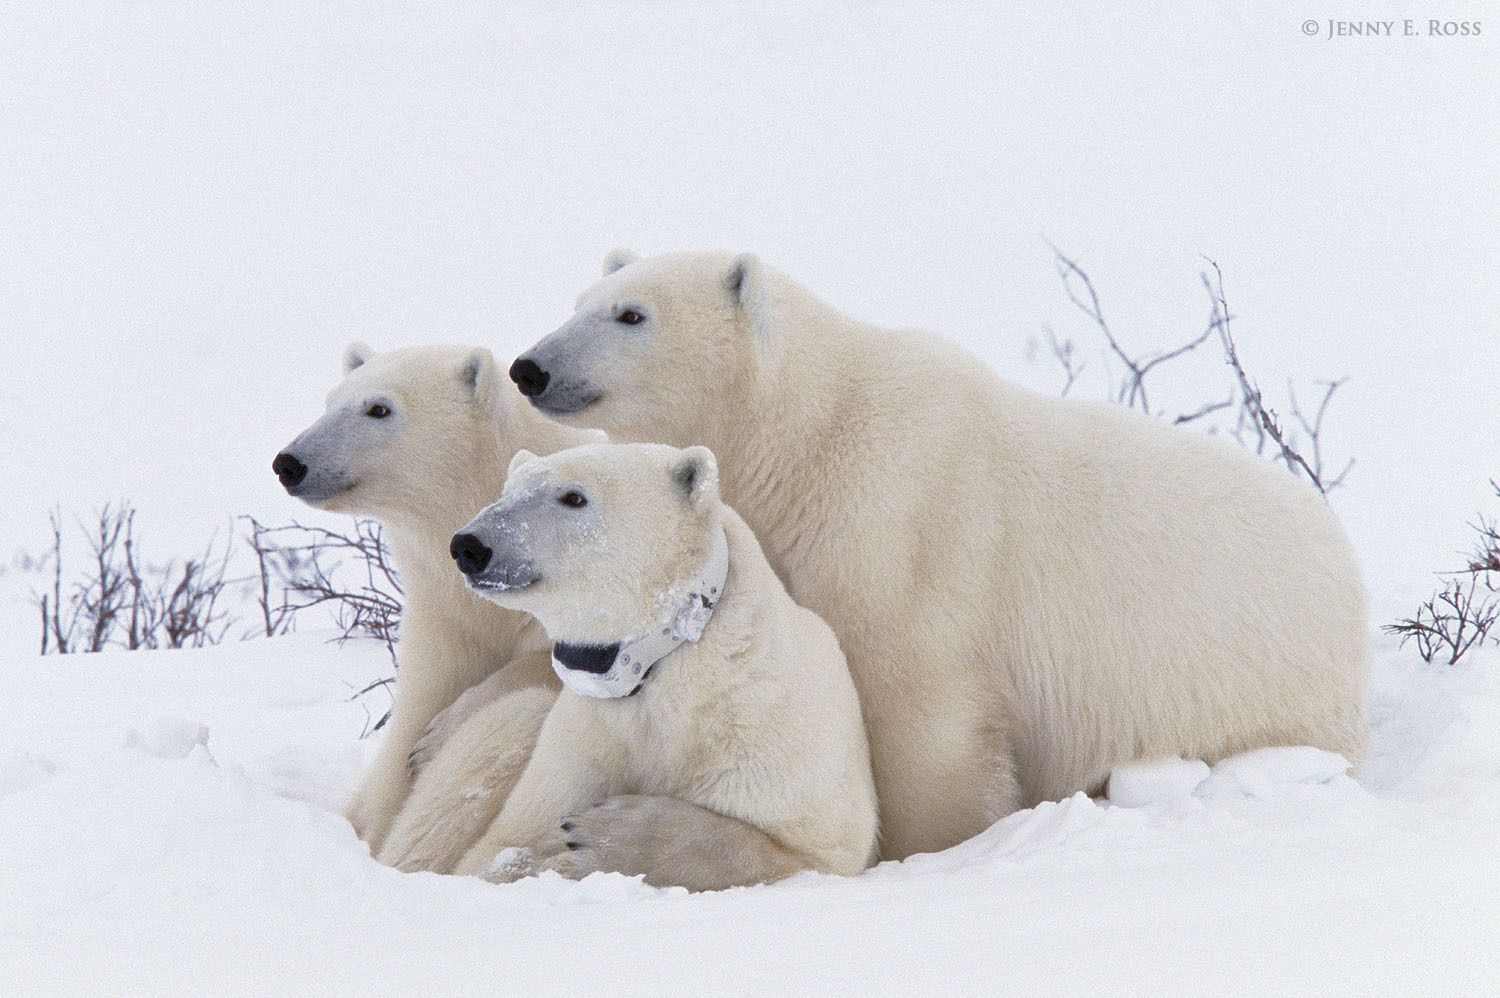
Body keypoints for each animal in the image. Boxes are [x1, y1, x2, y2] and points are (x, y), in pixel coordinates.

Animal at [273, 342, 597, 868]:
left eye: (379, 408)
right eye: (330, 400)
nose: (290, 462)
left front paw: (434, 741)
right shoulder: (444, 622)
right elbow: (413, 719)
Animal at [440, 442, 878, 890]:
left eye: (574, 497)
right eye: (507, 490)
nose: (470, 546)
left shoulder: (770, 727)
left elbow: (804, 848)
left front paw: (598, 837)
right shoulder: (586, 737)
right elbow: (493, 851)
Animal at [503, 249, 1370, 861]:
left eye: (631, 314)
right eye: (576, 304)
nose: (529, 365)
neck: (805, 438)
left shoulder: (901, 520)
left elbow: (921, 708)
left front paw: (928, 852)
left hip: (1251, 684)